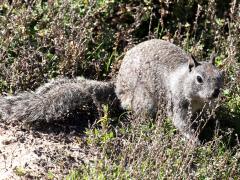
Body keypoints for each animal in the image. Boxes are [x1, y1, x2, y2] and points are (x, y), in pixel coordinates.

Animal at [0, 39, 223, 141]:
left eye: (221, 75)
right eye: (199, 79)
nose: (215, 93)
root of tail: (117, 88)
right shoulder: (177, 101)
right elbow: (180, 122)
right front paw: (195, 141)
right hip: (144, 100)